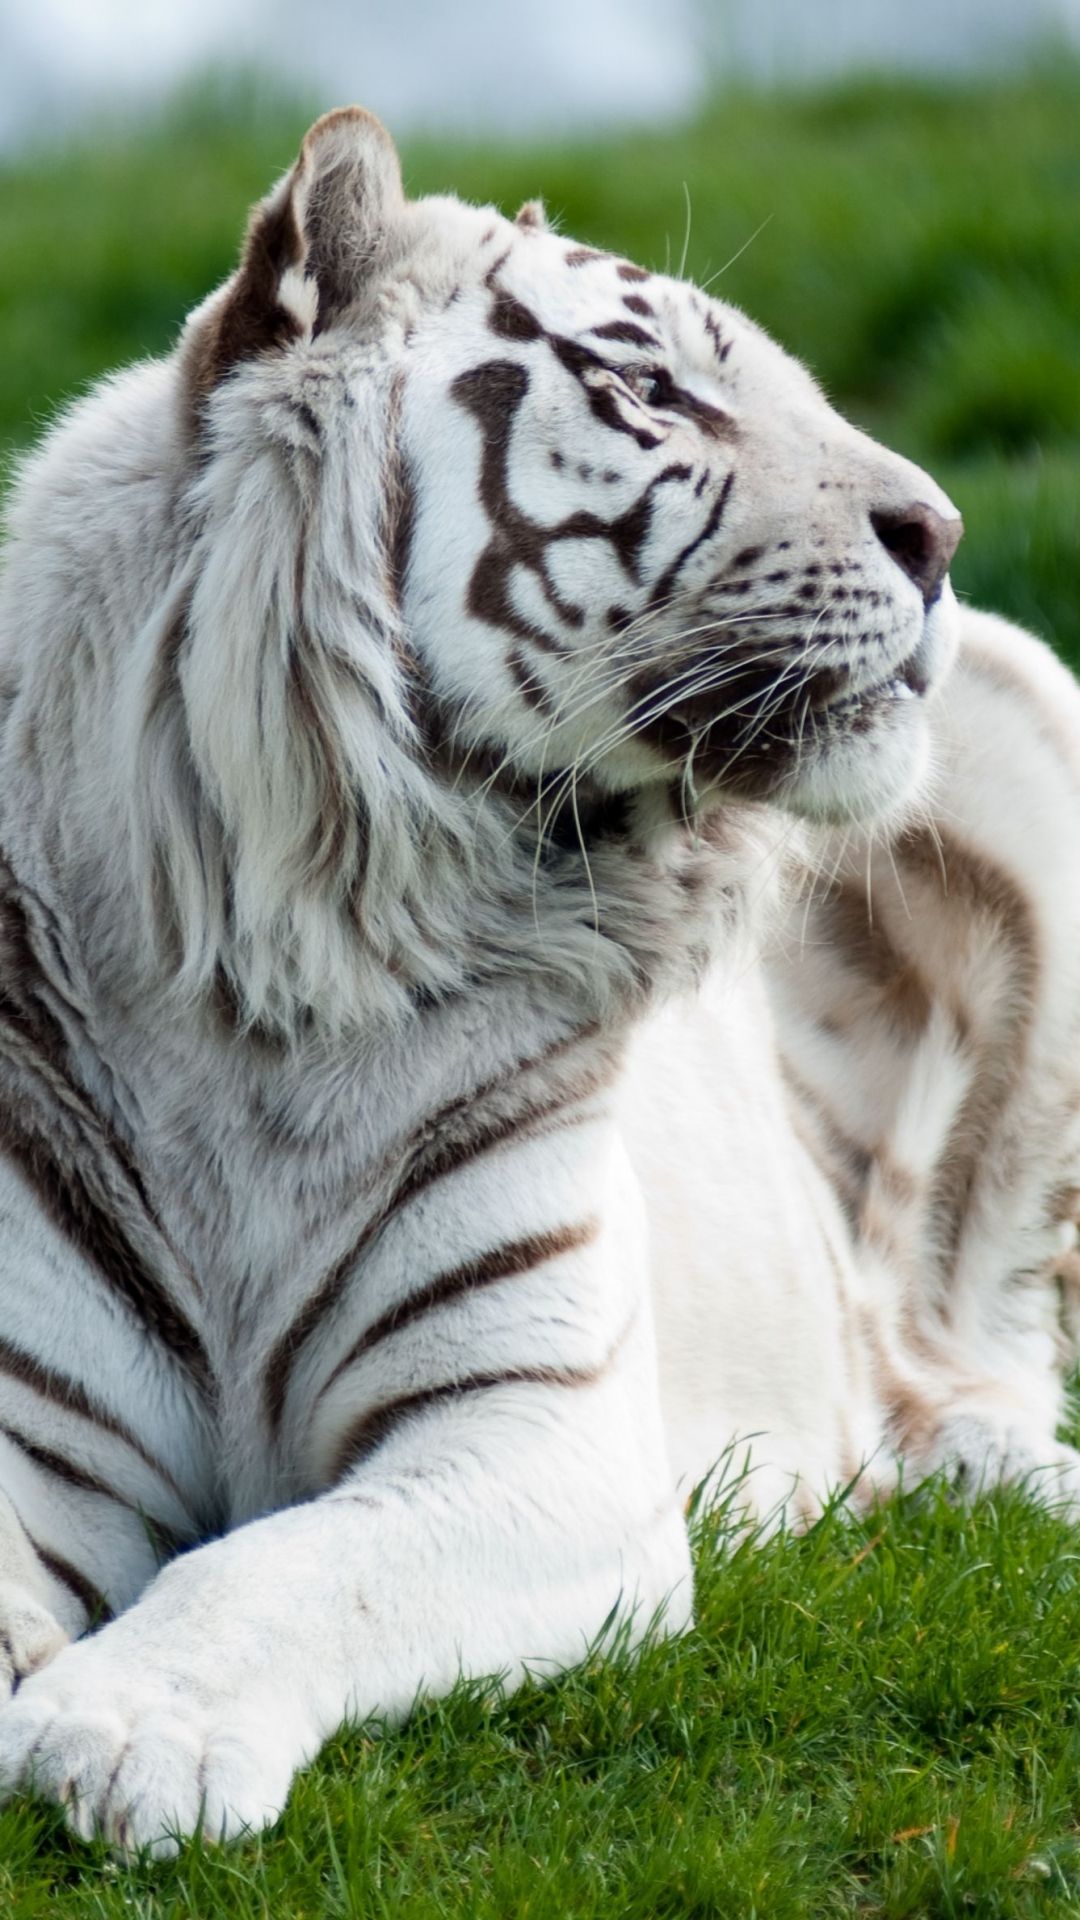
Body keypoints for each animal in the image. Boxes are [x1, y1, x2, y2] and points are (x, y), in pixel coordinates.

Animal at [0, 104, 1079, 1857]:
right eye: (654, 389)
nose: (945, 538)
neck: (287, 979)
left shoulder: (540, 1436)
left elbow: (288, 1565)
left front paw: (119, 1730)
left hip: (1029, 705)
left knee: (979, 1328)